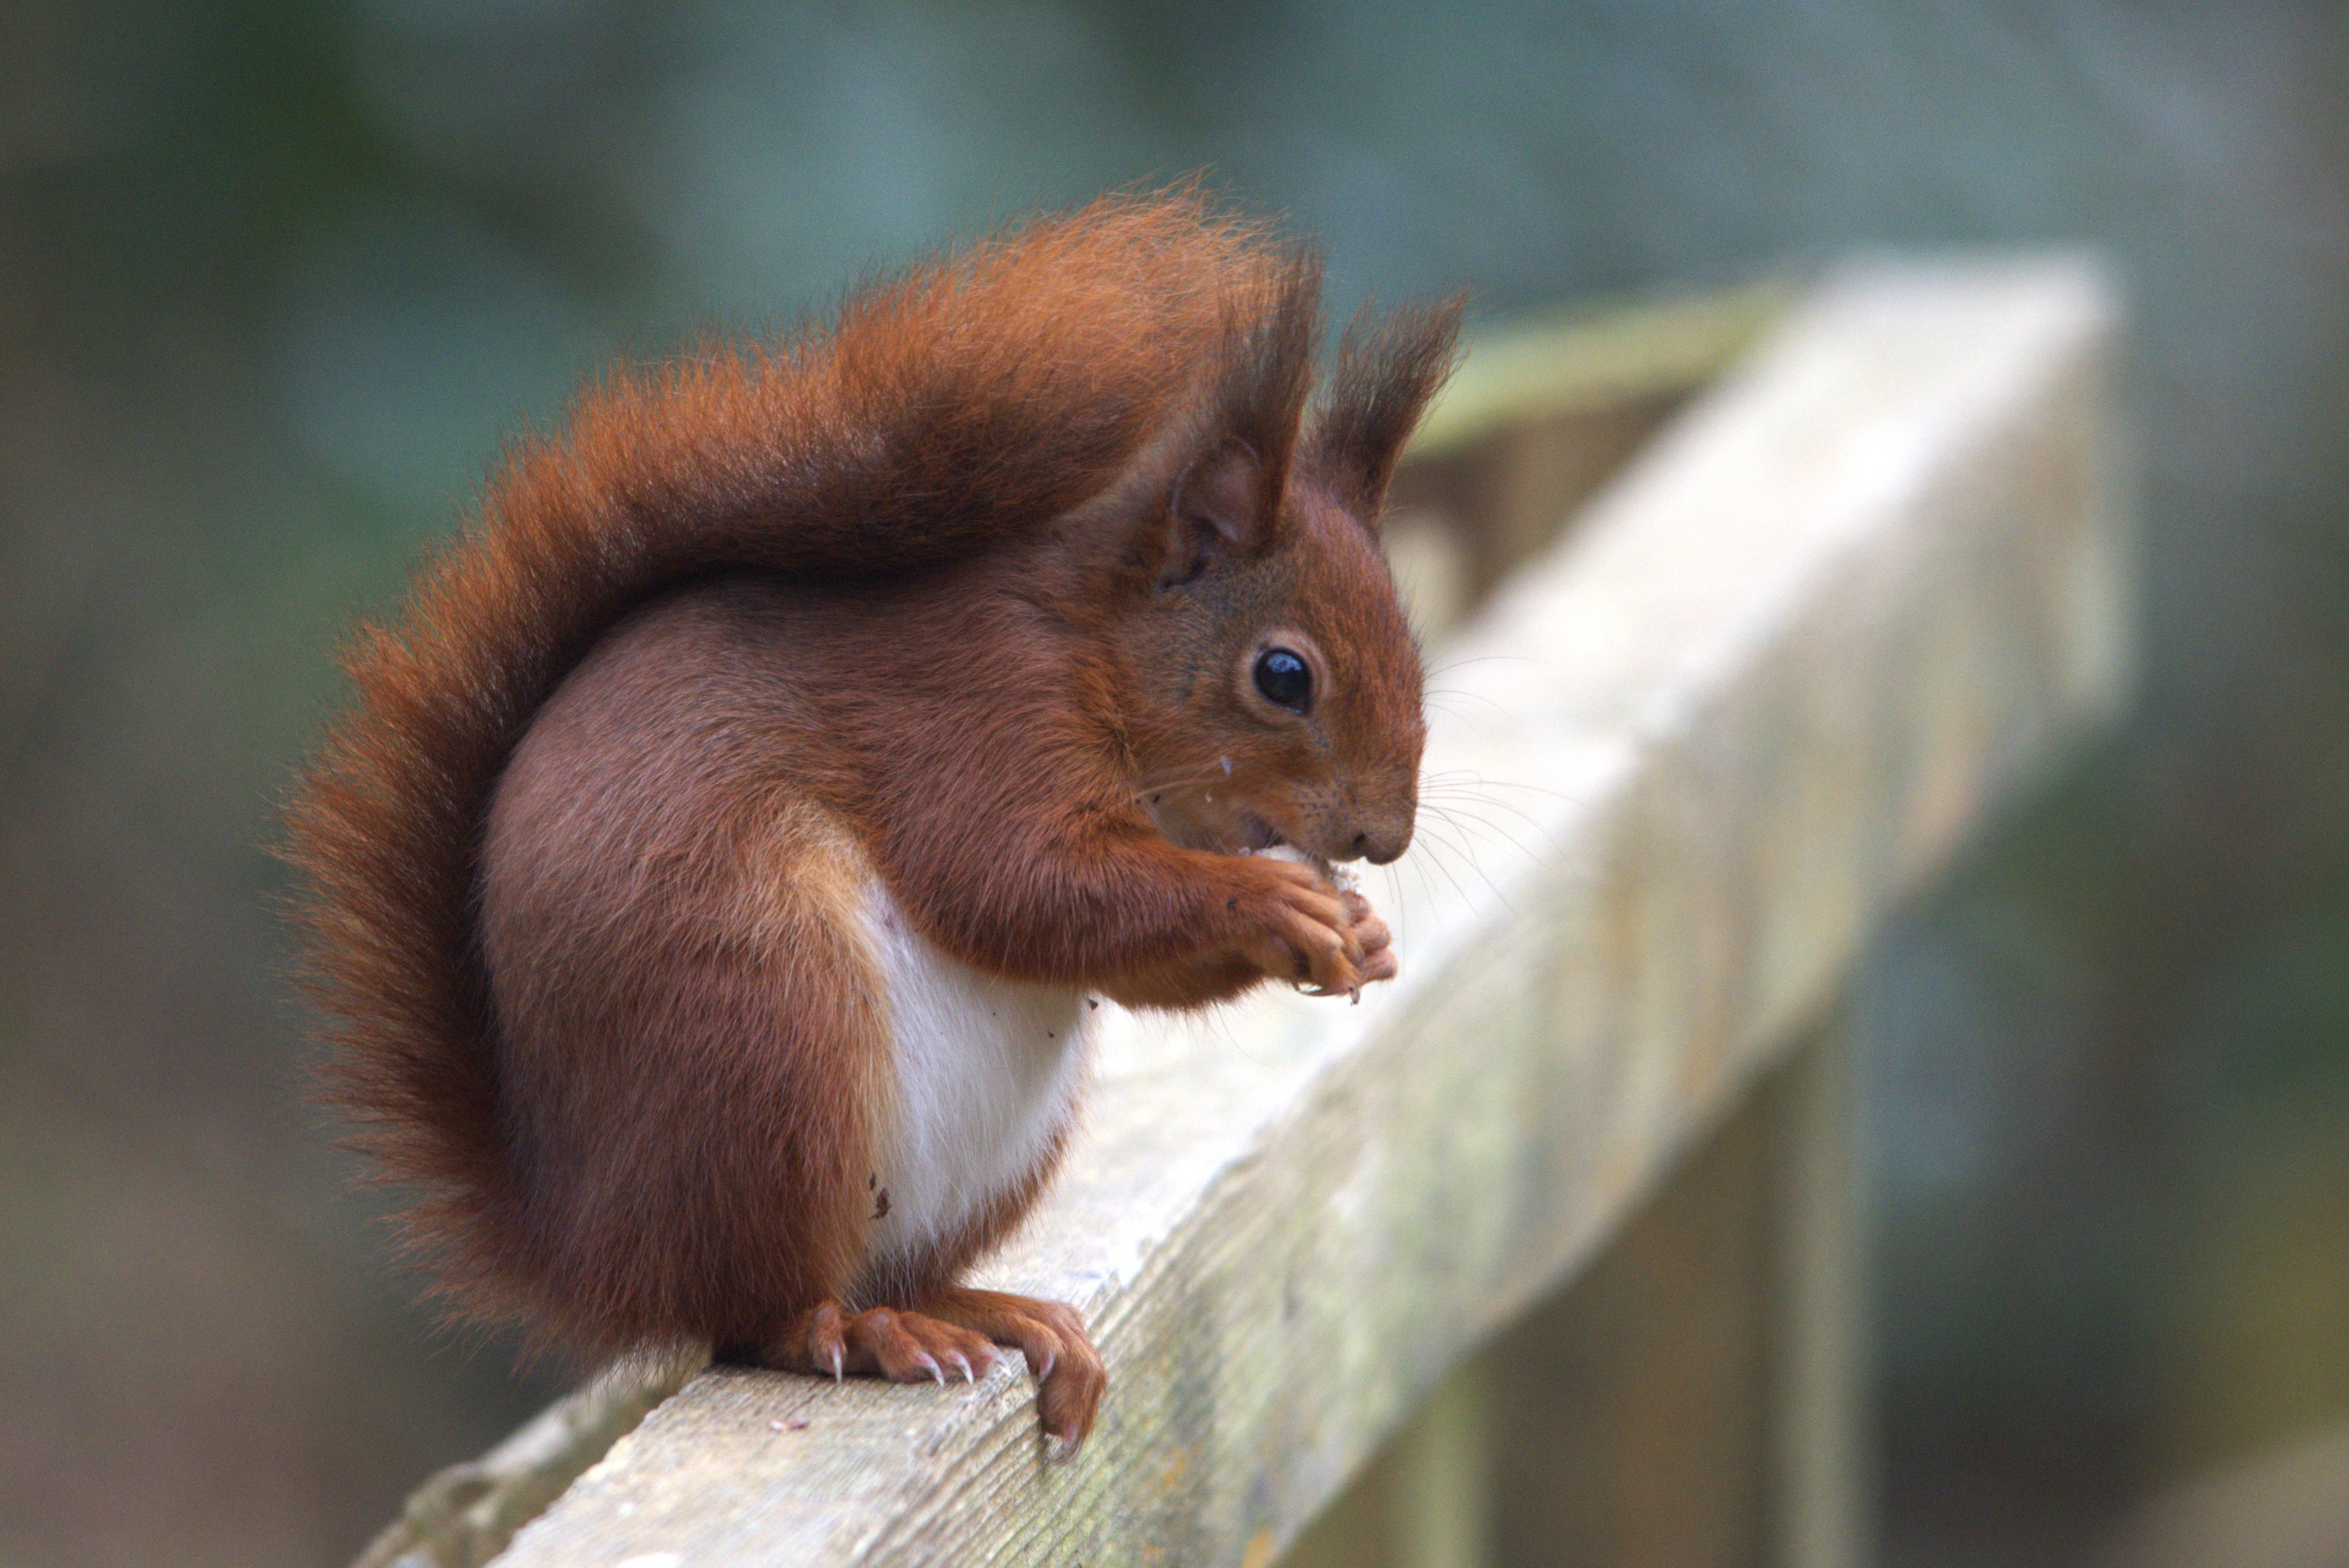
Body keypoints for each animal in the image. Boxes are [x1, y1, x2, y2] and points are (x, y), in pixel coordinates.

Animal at [283, 187, 1461, 1452]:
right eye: (1282, 676)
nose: (1382, 840)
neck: (1091, 648)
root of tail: (585, 1243)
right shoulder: (973, 721)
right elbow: (1025, 885)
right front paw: (1275, 903)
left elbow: (1119, 960)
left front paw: (1360, 935)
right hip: (769, 1035)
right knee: (755, 1313)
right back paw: (854, 1332)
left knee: (892, 1268)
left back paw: (990, 1312)